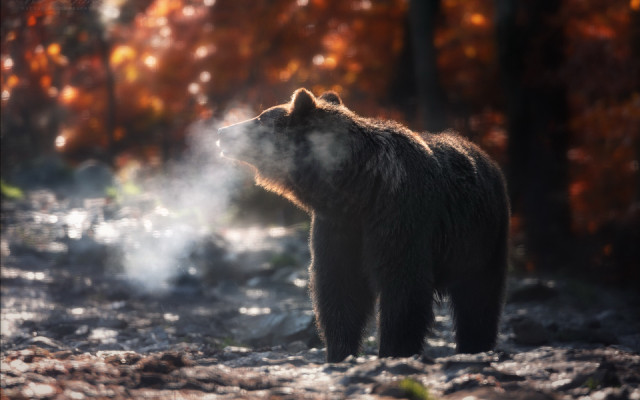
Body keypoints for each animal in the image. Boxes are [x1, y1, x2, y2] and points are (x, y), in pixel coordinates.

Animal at [217, 88, 509, 362]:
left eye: (260, 118)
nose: (222, 132)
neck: (359, 188)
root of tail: (487, 158)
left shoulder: (399, 217)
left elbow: (403, 288)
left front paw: (393, 350)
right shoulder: (340, 227)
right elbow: (340, 288)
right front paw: (339, 352)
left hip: (483, 237)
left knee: (479, 298)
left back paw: (475, 345)